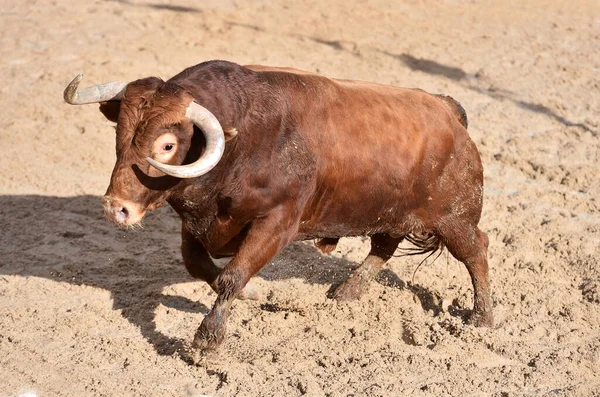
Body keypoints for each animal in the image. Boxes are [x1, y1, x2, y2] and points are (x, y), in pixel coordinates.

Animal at [63, 59, 492, 356]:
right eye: (119, 134)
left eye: (167, 145)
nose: (116, 208)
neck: (242, 142)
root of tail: (447, 110)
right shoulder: (197, 224)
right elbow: (200, 265)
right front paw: (255, 294)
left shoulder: (277, 222)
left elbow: (232, 276)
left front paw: (206, 340)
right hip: (388, 212)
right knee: (384, 245)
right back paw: (346, 292)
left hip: (455, 217)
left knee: (476, 252)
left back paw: (482, 318)